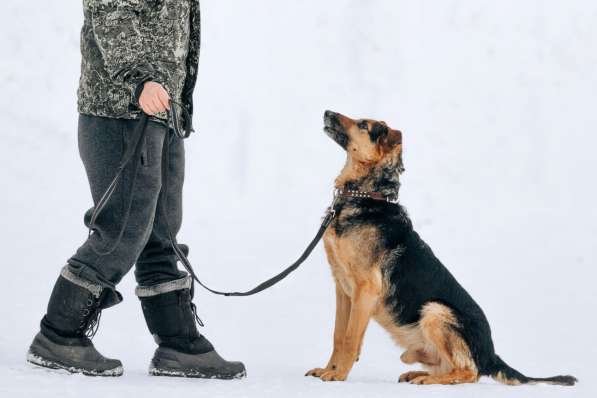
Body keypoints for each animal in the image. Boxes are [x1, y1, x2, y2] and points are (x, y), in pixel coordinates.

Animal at [304, 109, 576, 386]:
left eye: (362, 125)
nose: (327, 112)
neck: (366, 197)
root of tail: (491, 355)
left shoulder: (366, 289)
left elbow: (350, 338)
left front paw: (338, 375)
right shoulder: (343, 289)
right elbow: (338, 335)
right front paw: (329, 369)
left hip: (435, 310)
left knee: (469, 373)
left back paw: (428, 380)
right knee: (451, 368)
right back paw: (419, 373)